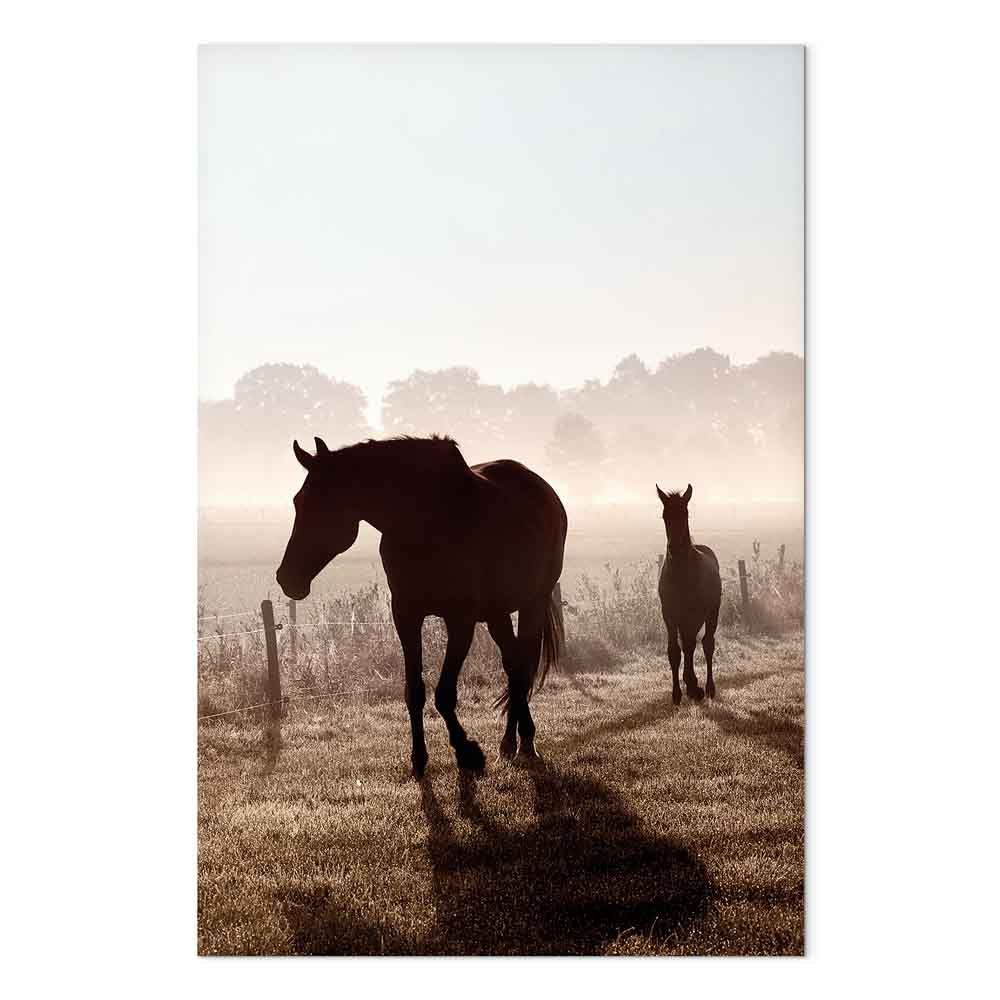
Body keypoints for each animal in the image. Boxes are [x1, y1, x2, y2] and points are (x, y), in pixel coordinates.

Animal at [276, 435, 567, 778]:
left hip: (533, 602)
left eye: (322, 504)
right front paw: (419, 759)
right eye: (298, 502)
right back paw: (508, 743)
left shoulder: (460, 620)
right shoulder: (406, 615)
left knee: (521, 666)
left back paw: (527, 743)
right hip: (497, 613)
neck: (424, 519)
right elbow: (414, 692)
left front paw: (468, 752)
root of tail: (543, 490)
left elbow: (444, 694)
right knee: (513, 664)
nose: (287, 578)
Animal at [656, 484, 722, 705]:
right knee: (688, 644)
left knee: (707, 644)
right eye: (665, 516)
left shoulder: (694, 614)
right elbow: (674, 651)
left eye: (685, 513)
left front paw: (694, 687)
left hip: (712, 612)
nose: (675, 548)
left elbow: (691, 646)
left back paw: (708, 688)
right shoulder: (669, 615)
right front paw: (677, 693)